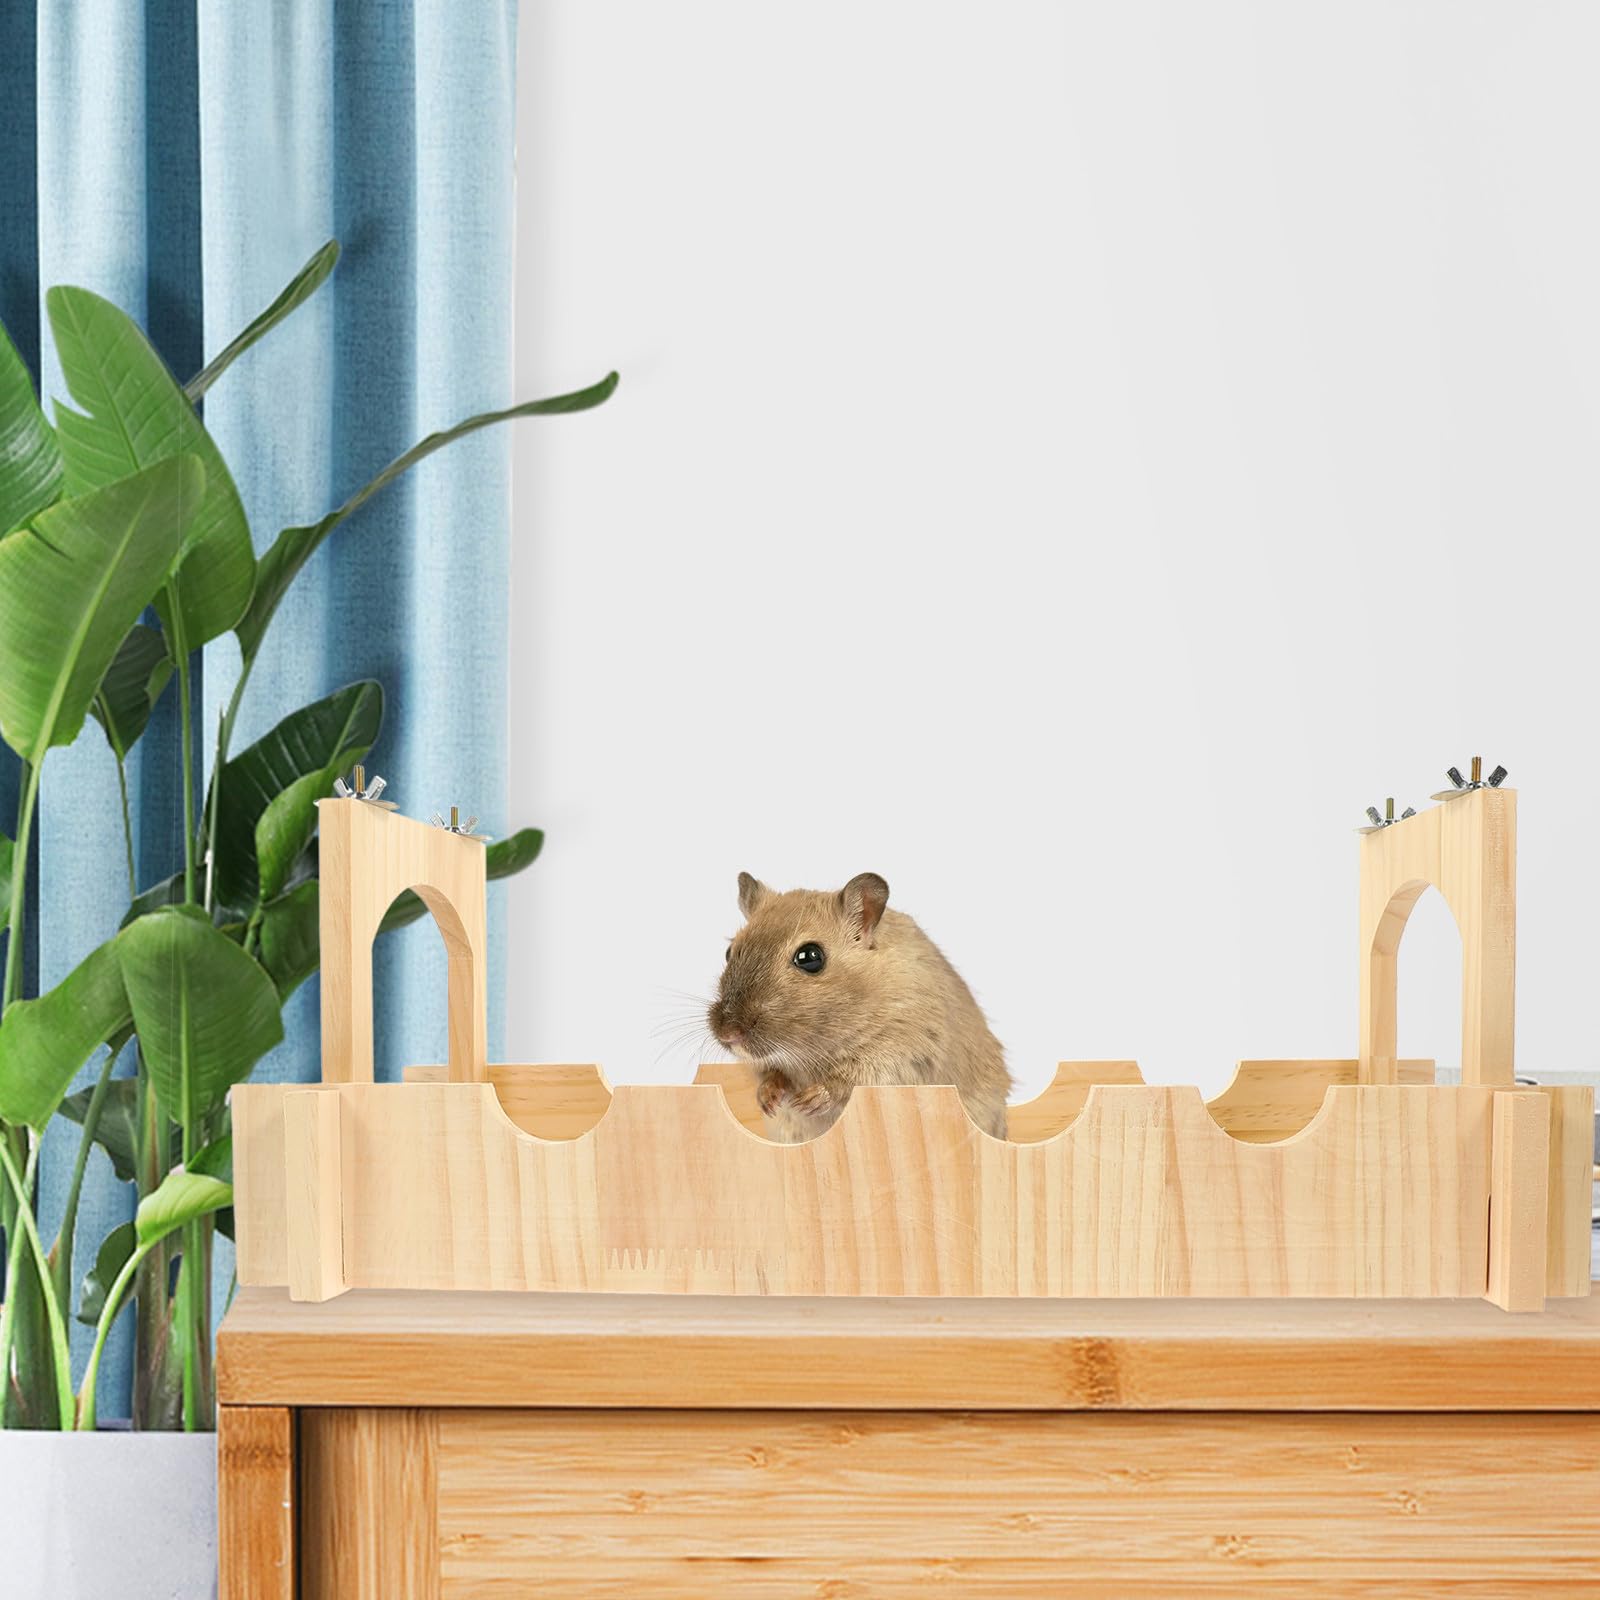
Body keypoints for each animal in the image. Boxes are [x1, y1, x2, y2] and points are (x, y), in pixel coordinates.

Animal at [707, 871, 1012, 1142]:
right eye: (729, 952)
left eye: (810, 958)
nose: (728, 1034)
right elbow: (769, 1073)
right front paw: (768, 1099)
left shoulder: (904, 1053)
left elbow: (848, 1081)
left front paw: (808, 1100)